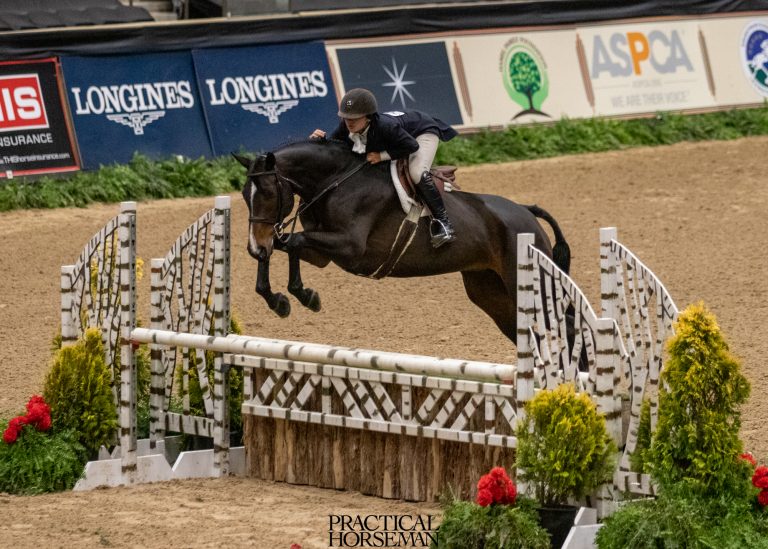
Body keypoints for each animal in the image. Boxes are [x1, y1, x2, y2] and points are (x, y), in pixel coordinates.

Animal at [234, 138, 571, 344]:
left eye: (267, 193)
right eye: (244, 195)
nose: (253, 247)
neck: (335, 181)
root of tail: (525, 211)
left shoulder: (350, 248)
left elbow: (291, 240)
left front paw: (298, 296)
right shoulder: (322, 253)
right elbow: (286, 243)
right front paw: (285, 299)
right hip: (489, 290)